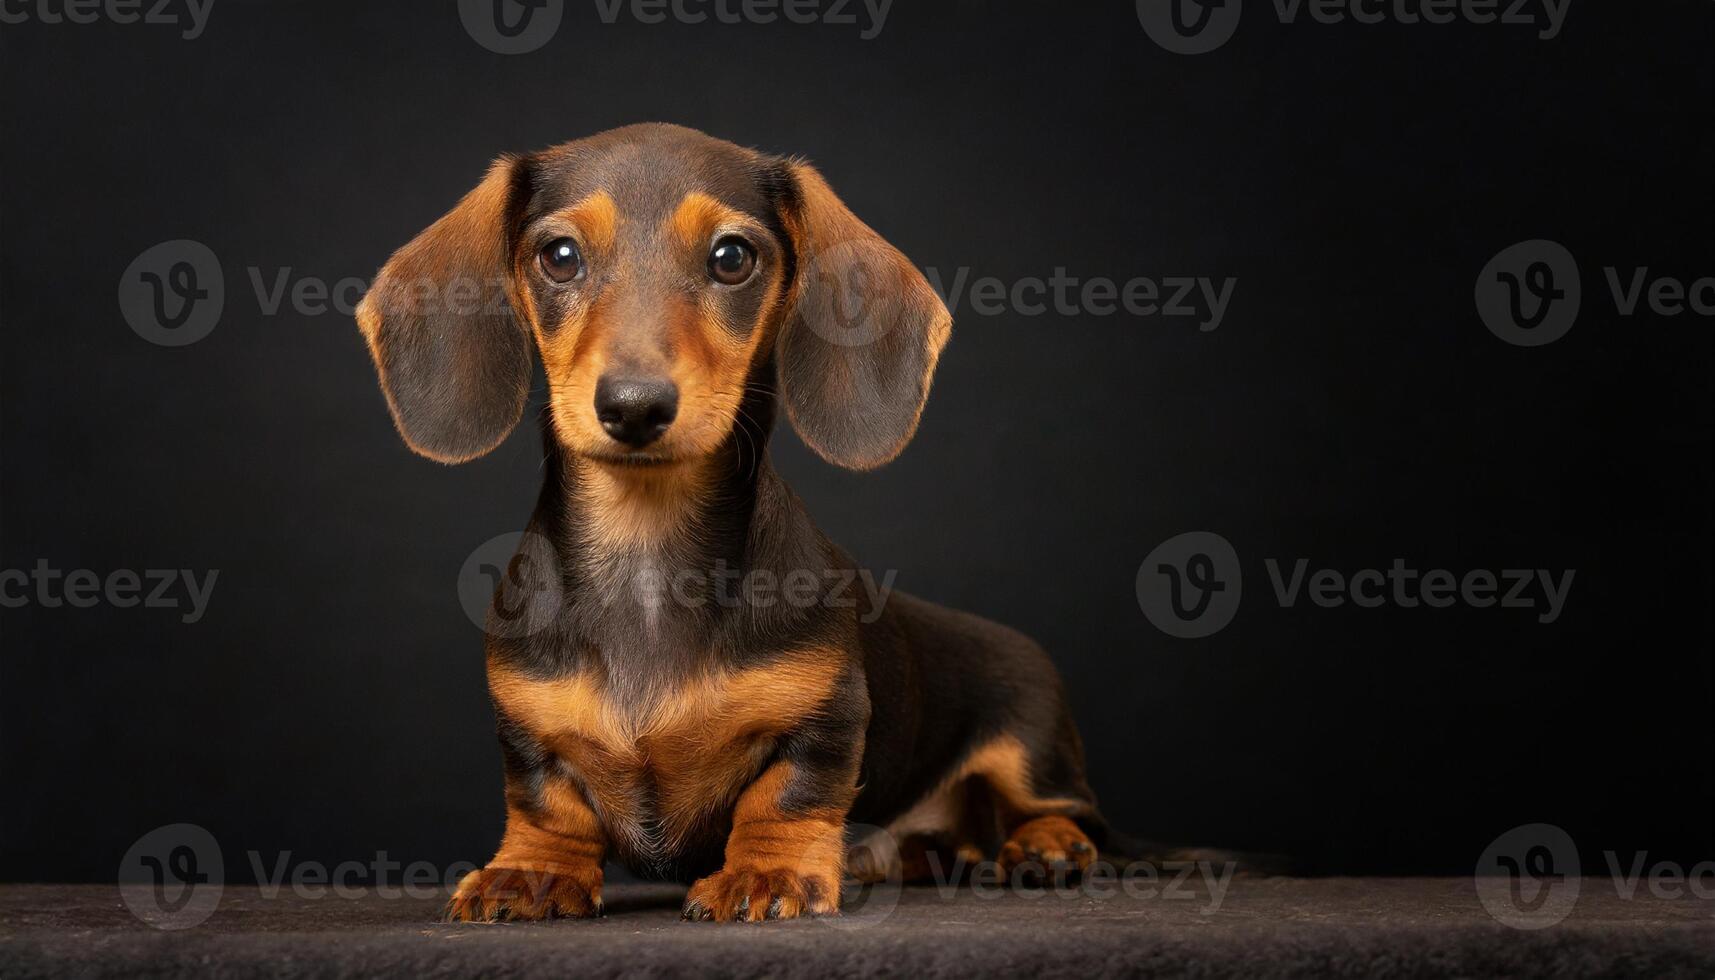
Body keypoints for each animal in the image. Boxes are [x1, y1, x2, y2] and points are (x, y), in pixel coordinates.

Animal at [361, 124, 1111, 926]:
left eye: (732, 257)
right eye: (558, 256)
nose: (633, 406)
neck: (646, 549)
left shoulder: (825, 715)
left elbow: (786, 798)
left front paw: (766, 873)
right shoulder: (527, 729)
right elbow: (544, 804)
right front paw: (531, 871)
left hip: (1030, 745)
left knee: (1065, 811)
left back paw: (1047, 846)